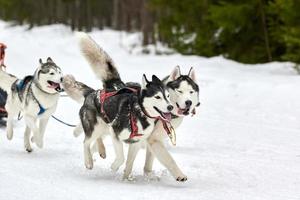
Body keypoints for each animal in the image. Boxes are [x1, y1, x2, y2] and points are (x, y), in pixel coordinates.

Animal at [66, 32, 172, 170]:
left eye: (168, 96)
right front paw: (114, 166)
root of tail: (92, 93)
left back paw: (101, 150)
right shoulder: (115, 133)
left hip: (103, 126)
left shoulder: (135, 142)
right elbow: (121, 157)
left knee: (96, 138)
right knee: (86, 142)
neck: (138, 112)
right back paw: (88, 161)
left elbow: (128, 161)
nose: (170, 107)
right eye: (158, 97)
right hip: (95, 127)